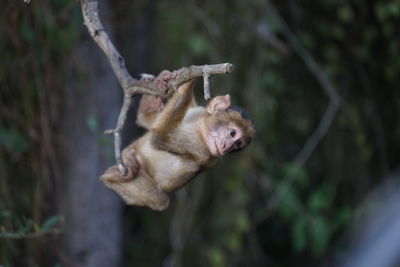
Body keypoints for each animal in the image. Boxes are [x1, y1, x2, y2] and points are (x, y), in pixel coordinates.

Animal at [101, 79, 255, 211]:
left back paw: (114, 176)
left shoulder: (200, 147)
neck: (199, 127)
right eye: (232, 133)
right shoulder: (196, 111)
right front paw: (164, 80)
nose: (227, 147)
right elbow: (146, 120)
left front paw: (186, 87)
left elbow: (160, 138)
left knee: (160, 200)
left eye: (237, 145)